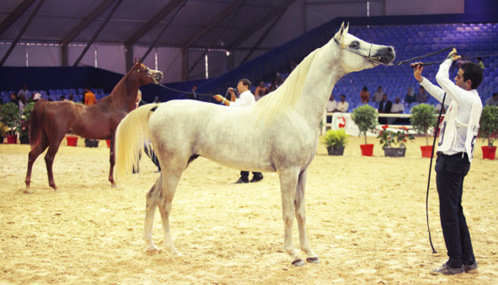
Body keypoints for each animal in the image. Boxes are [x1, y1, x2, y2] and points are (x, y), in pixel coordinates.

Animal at [24, 61, 161, 192]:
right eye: (146, 69)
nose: (160, 74)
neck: (116, 106)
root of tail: (48, 104)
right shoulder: (114, 137)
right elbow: (113, 158)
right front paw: (113, 182)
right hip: (55, 139)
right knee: (48, 158)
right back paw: (54, 186)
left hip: (45, 139)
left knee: (32, 155)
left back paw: (28, 186)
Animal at [115, 22, 394, 266]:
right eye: (355, 42)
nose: (389, 50)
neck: (295, 109)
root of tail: (159, 106)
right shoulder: (287, 172)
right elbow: (288, 213)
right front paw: (294, 255)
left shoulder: (302, 172)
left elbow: (301, 213)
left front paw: (310, 253)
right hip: (174, 166)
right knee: (164, 203)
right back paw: (173, 250)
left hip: (171, 165)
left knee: (151, 197)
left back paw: (151, 246)